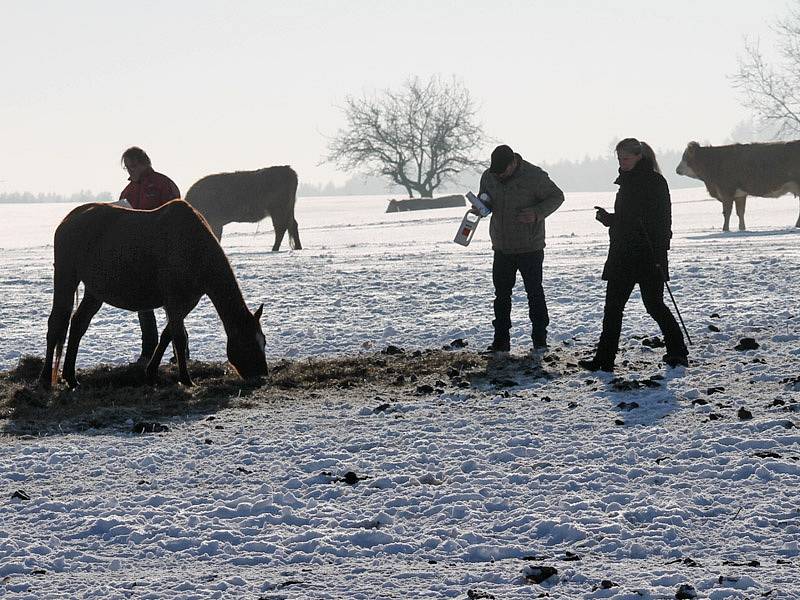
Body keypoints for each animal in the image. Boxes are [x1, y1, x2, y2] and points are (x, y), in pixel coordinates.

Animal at [39, 200, 270, 390]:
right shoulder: (174, 301)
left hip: (95, 292)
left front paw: (151, 373)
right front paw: (186, 379)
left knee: (78, 324)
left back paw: (71, 377)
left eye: (264, 341)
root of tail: (69, 218)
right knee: (56, 324)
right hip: (66, 278)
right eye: (249, 343)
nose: (262, 375)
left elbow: (168, 335)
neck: (193, 246)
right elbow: (179, 338)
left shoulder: (186, 302)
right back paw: (44, 379)